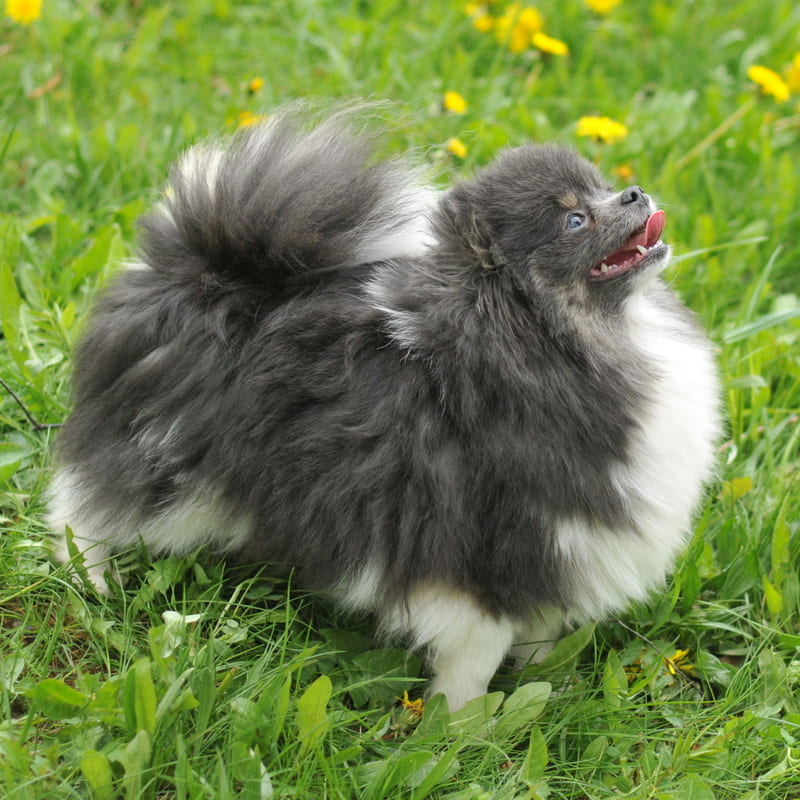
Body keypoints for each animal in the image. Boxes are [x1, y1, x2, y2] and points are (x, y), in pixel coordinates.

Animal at [51, 108, 724, 712]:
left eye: (602, 187)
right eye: (576, 219)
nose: (635, 193)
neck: (554, 346)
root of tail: (205, 273)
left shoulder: (562, 547)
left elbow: (538, 631)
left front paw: (538, 677)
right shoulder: (481, 552)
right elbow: (474, 657)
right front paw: (463, 729)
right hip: (167, 461)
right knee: (84, 506)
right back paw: (91, 577)